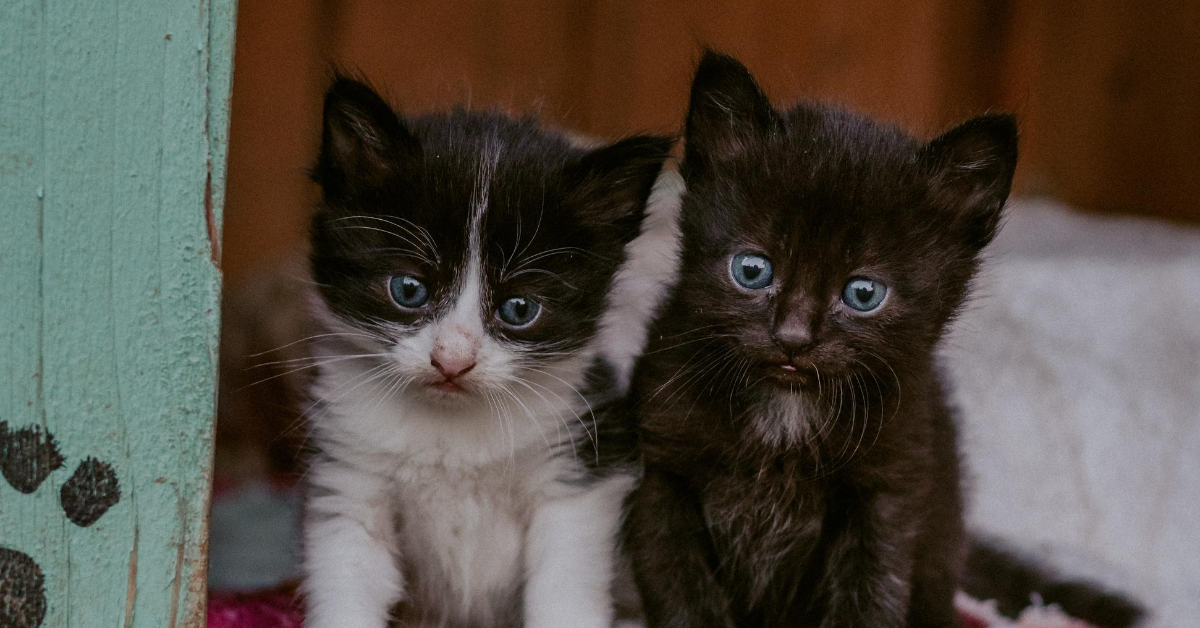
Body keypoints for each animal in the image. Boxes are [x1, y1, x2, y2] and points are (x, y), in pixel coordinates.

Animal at [300, 78, 672, 628]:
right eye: (408, 289)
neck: (451, 432)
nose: (452, 360)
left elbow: (564, 586)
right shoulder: (349, 477)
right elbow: (347, 575)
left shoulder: (577, 469)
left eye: (519, 308)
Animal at [624, 50, 1017, 628]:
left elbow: (869, 597)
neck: (785, 416)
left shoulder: (888, 491)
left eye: (863, 293)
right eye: (752, 270)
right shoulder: (661, 475)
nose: (792, 337)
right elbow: (683, 594)